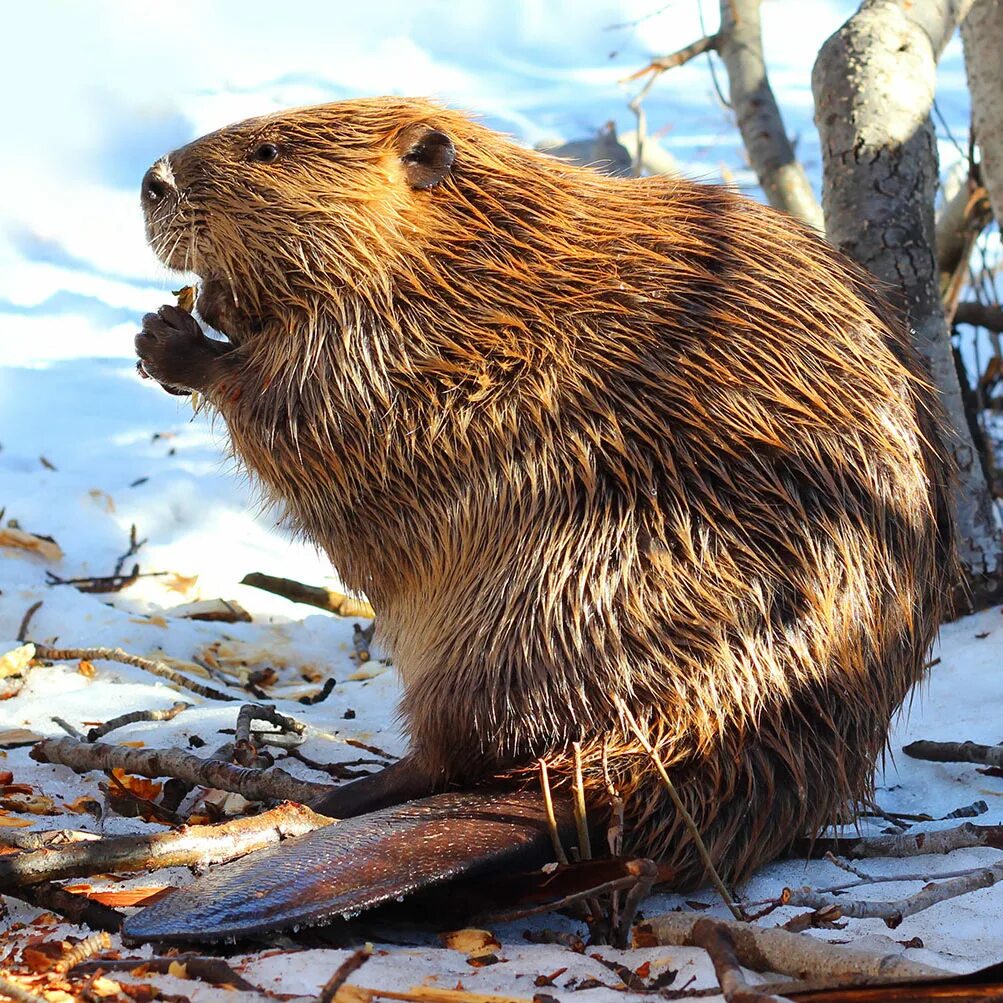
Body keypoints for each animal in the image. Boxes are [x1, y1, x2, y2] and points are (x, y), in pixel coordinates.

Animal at [133, 95, 954, 930]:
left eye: (269, 152)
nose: (152, 181)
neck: (475, 258)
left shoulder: (421, 345)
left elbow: (314, 408)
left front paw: (174, 336)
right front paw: (199, 307)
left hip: (558, 604)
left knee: (454, 756)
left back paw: (337, 796)